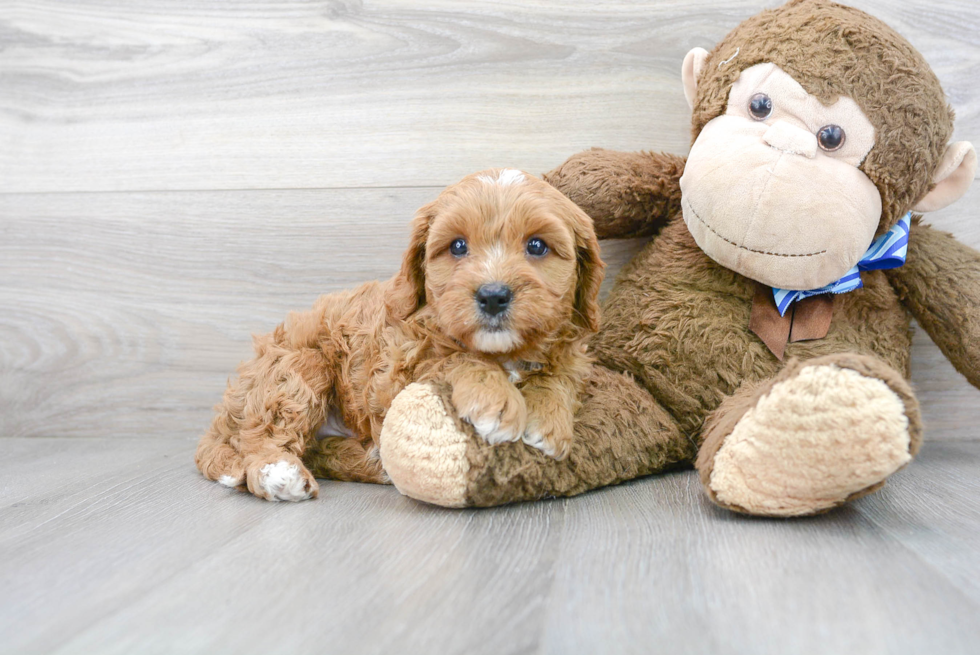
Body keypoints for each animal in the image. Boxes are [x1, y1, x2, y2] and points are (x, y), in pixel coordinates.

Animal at [194, 169, 600, 502]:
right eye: (458, 246)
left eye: (536, 245)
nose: (493, 295)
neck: (504, 352)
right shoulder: (398, 367)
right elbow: (455, 357)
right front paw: (495, 399)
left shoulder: (572, 350)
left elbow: (560, 373)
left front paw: (547, 419)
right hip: (296, 366)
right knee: (260, 435)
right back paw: (278, 472)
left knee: (316, 450)